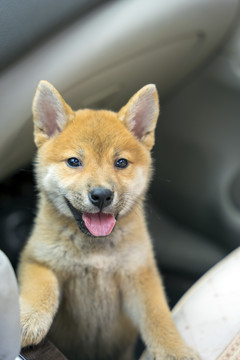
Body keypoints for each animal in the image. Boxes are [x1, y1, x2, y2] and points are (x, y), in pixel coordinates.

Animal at [17, 81, 200, 360]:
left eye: (121, 162)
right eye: (74, 161)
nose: (102, 195)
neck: (96, 252)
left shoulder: (141, 273)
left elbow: (158, 317)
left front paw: (175, 350)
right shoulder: (36, 259)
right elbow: (42, 287)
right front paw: (26, 320)